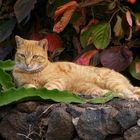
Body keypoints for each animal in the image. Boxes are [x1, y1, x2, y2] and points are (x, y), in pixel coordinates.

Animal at [12, 35, 140, 100]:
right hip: (92, 88)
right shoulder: (21, 85)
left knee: (129, 93)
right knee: (112, 93)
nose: (27, 63)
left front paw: (41, 92)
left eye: (35, 56)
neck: (32, 73)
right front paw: (34, 88)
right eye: (22, 55)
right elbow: (28, 86)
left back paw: (132, 97)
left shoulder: (58, 80)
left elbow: (47, 88)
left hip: (112, 83)